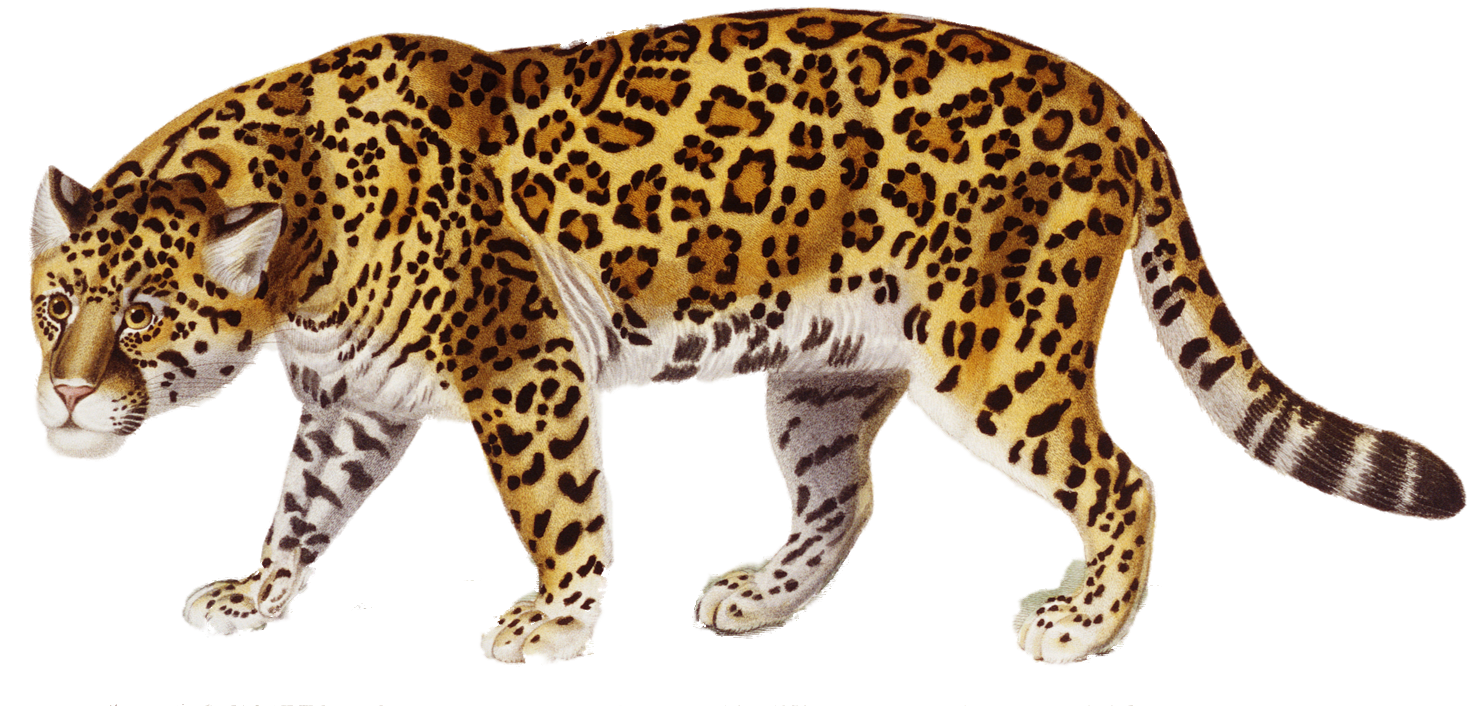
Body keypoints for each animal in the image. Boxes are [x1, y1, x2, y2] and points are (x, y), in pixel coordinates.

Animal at [27, 7, 1466, 668]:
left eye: (143, 317)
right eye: (53, 309)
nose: (63, 400)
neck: (301, 247)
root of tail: (1118, 102)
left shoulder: (524, 366)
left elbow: (559, 506)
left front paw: (552, 621)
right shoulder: (351, 399)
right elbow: (301, 501)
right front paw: (256, 592)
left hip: (997, 353)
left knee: (1126, 477)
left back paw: (1083, 623)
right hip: (822, 374)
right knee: (847, 495)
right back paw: (759, 598)